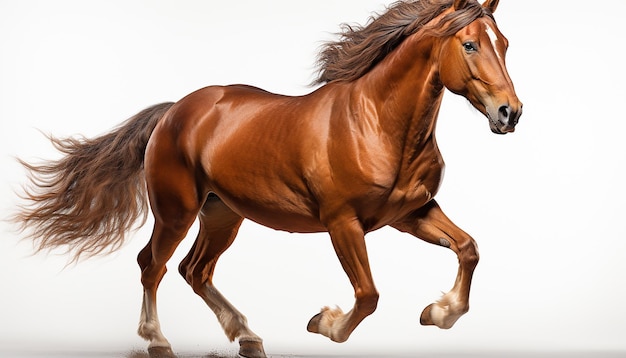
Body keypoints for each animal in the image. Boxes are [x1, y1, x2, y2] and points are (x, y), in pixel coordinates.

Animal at [14, 0, 520, 358]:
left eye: (505, 44)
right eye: (470, 45)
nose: (509, 113)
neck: (376, 123)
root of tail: (174, 111)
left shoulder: (410, 213)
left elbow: (468, 248)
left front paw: (438, 313)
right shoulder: (343, 223)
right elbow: (368, 294)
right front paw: (324, 322)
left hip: (222, 214)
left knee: (194, 270)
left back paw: (248, 337)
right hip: (177, 212)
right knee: (152, 265)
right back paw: (157, 341)